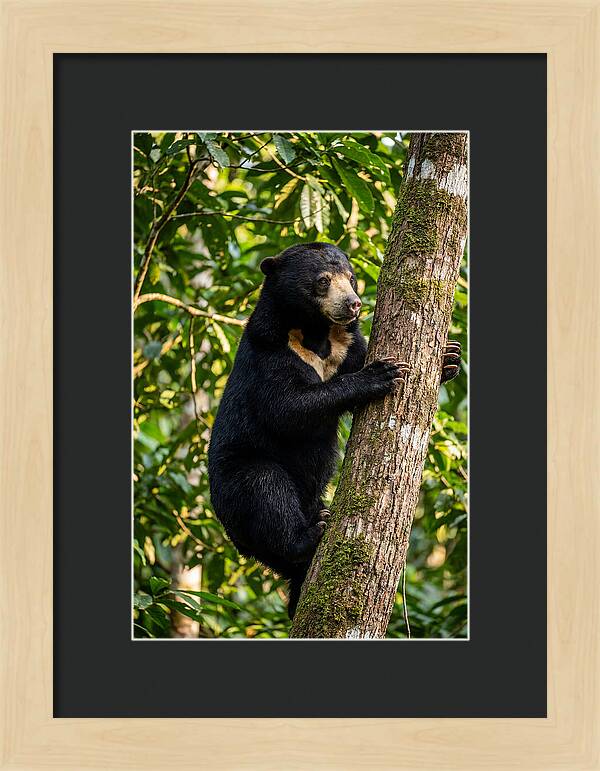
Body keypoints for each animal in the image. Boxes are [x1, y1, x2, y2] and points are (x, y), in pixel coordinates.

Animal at [207, 241, 461, 618]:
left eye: (352, 278)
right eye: (323, 281)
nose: (354, 304)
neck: (315, 333)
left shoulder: (346, 345)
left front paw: (449, 357)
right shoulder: (270, 351)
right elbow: (286, 408)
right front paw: (381, 374)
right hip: (236, 479)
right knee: (265, 489)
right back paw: (311, 533)